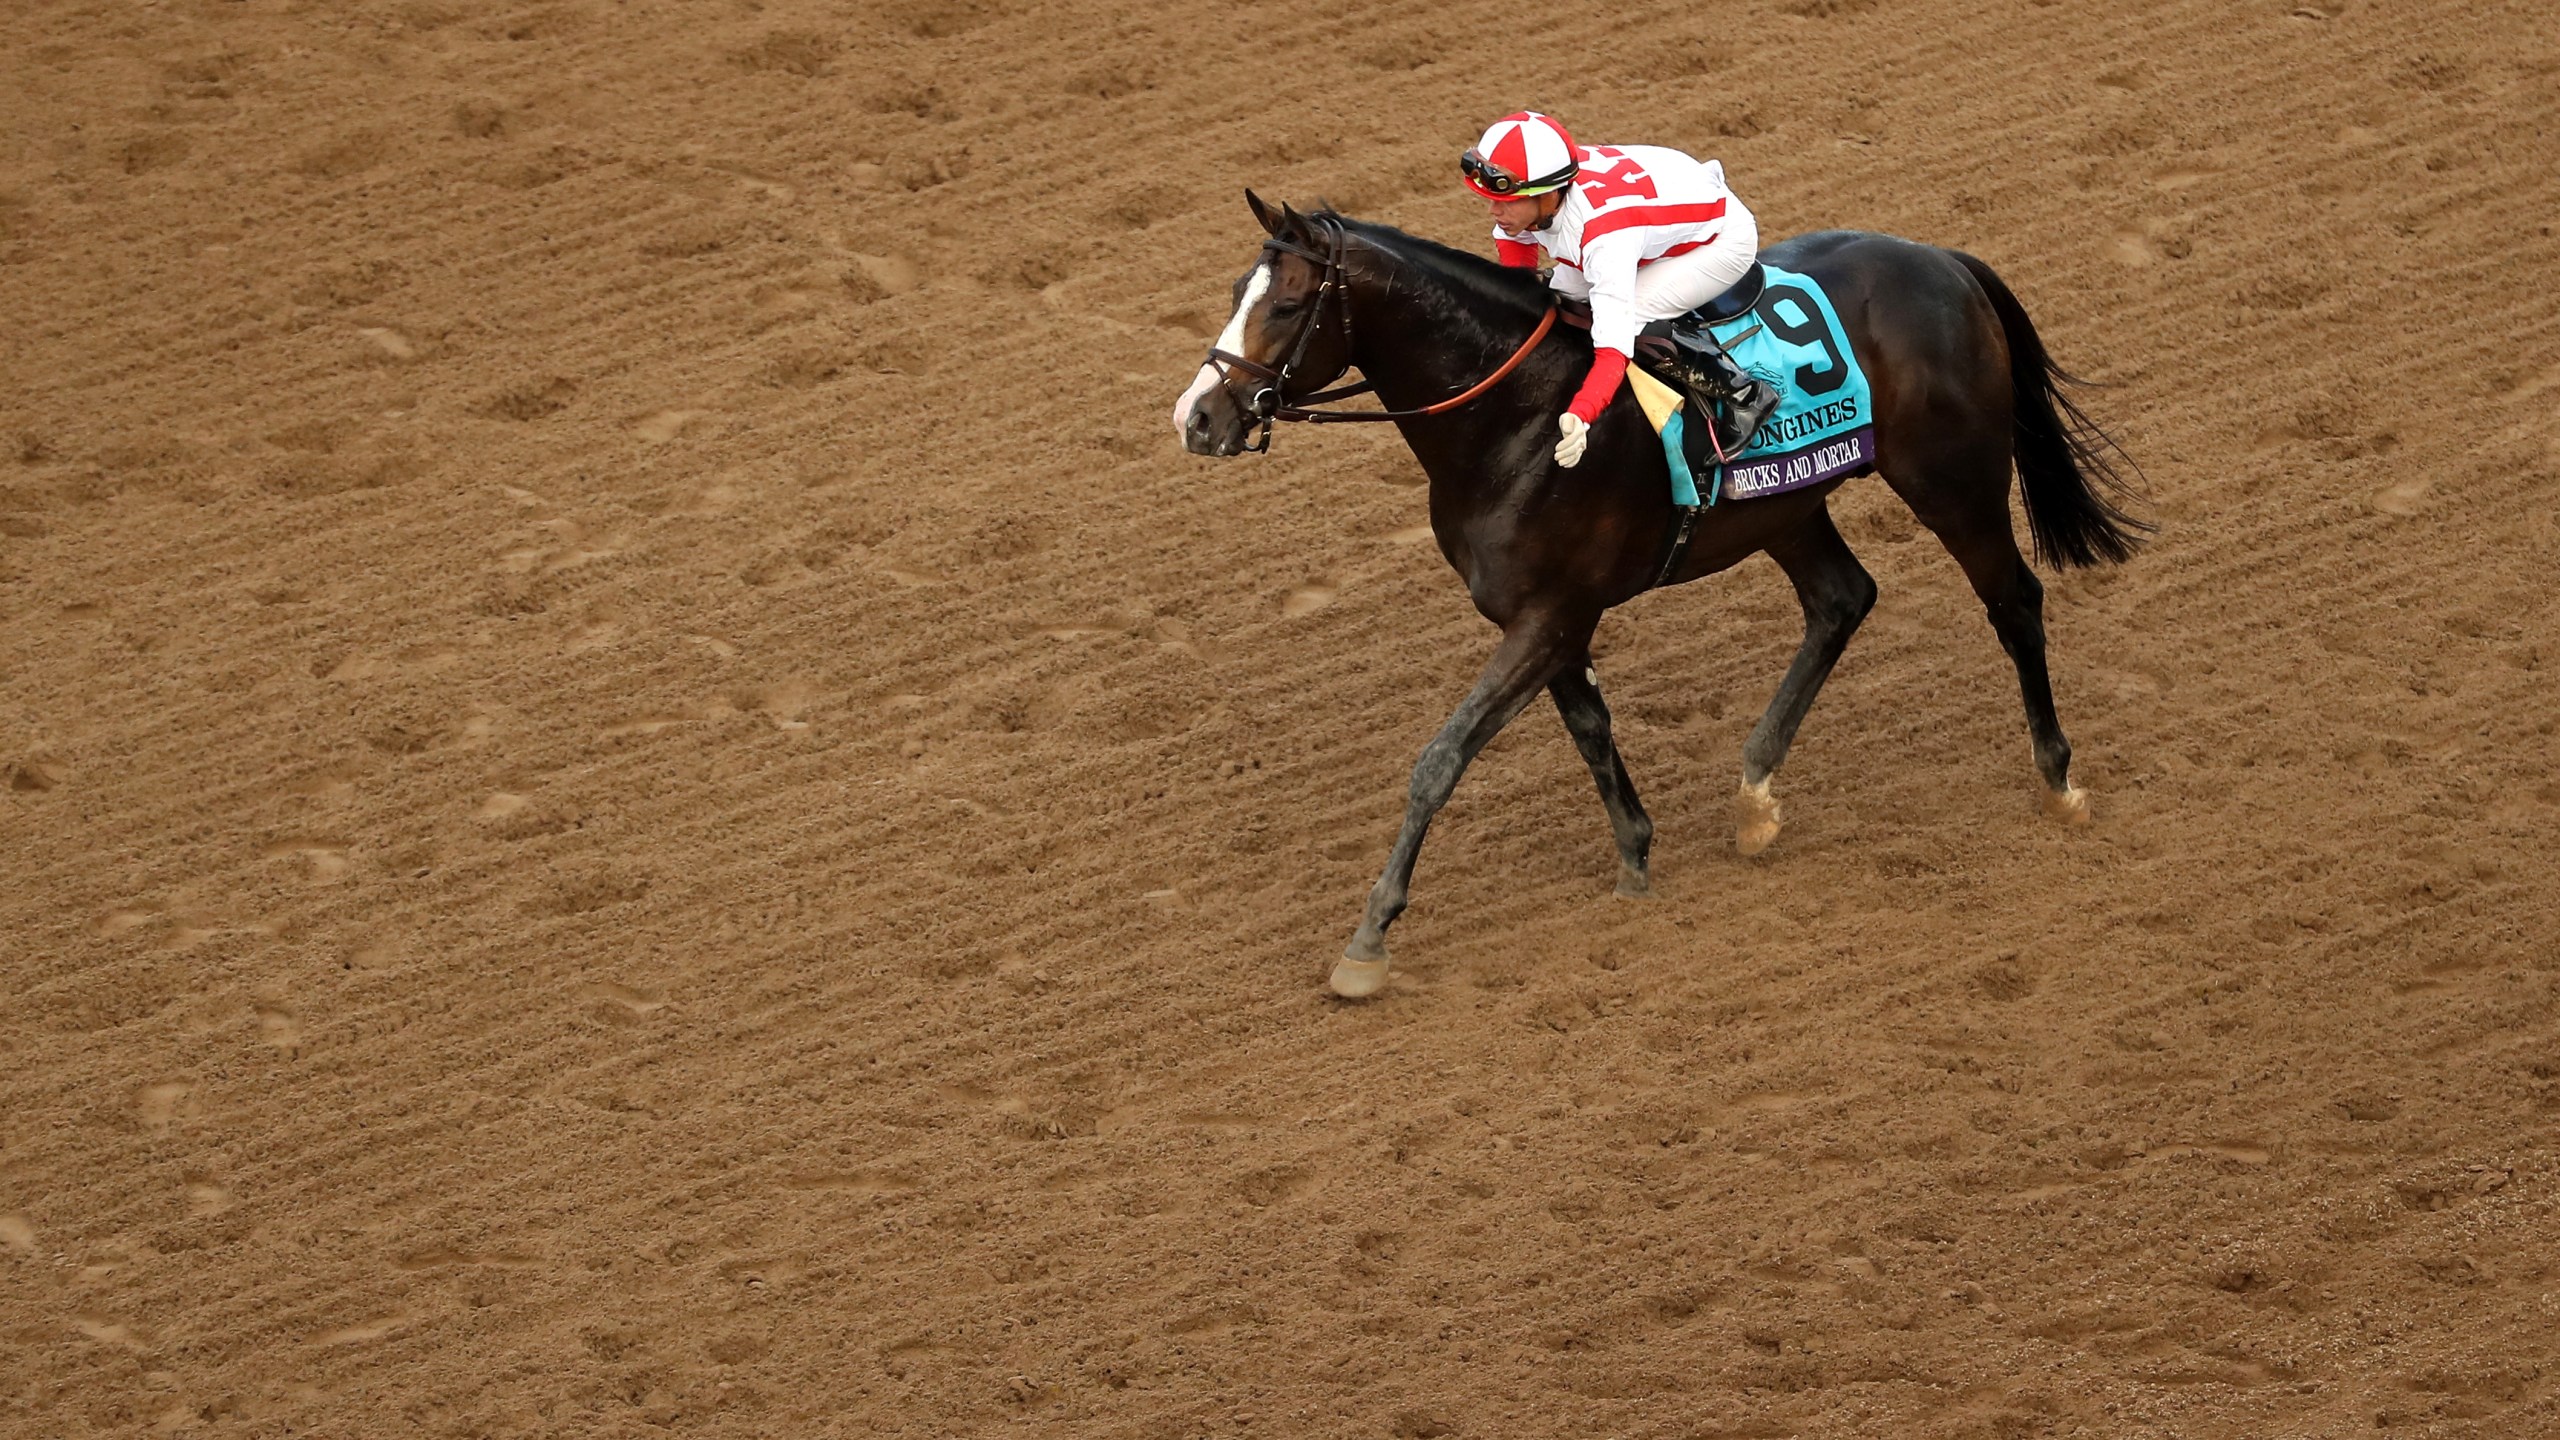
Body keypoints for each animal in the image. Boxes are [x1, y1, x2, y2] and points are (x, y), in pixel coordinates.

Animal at [1172, 193, 2140, 999]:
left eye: (1287, 306)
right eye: (1234, 291)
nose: (1198, 418)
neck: (1517, 414)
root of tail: (1942, 259)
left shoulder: (1547, 616)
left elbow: (1440, 760)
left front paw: (1369, 940)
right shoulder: (1547, 615)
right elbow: (1591, 731)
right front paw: (1636, 857)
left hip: (1953, 481)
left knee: (2013, 602)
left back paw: (2058, 778)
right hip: (1785, 507)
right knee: (1842, 599)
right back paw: (1754, 793)